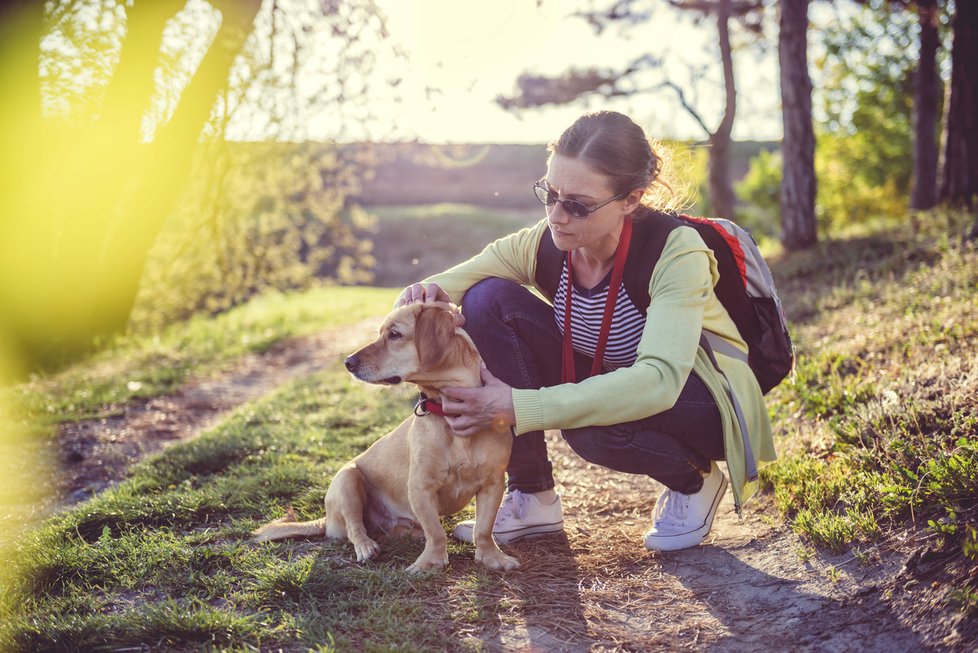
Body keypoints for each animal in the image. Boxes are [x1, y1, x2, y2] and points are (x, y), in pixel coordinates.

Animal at [255, 300, 524, 572]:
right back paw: (366, 546)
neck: (448, 412)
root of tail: (327, 519)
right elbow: (436, 533)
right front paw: (429, 562)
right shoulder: (420, 488)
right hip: (348, 480)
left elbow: (483, 529)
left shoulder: (492, 483)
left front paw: (492, 557)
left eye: (394, 335)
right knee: (355, 528)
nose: (348, 362)